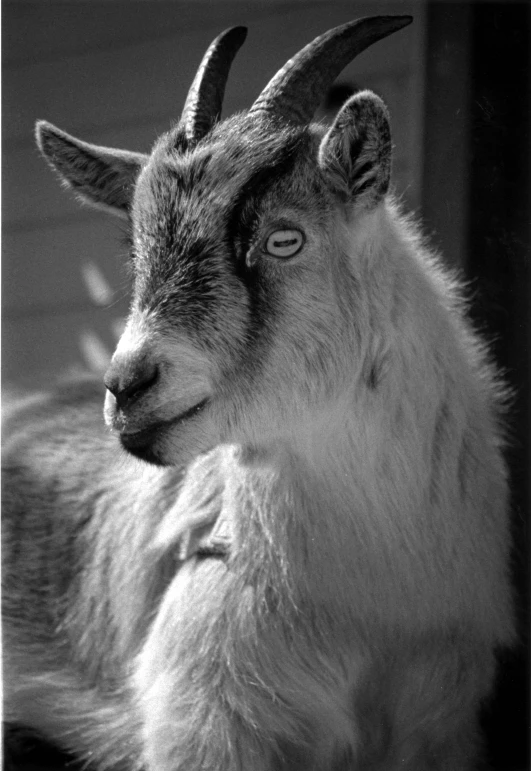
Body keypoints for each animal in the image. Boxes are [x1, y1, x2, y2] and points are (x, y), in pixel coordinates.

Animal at [1, 18, 516, 771]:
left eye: (282, 239)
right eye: (137, 253)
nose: (127, 385)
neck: (367, 598)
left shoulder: (440, 722)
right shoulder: (204, 726)